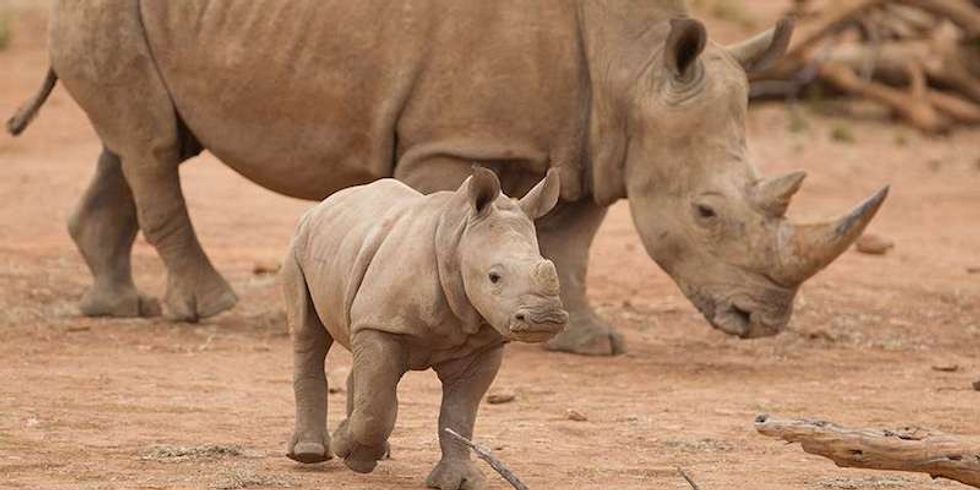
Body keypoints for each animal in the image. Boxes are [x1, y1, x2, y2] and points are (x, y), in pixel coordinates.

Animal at [8, 0, 887, 356]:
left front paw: (587, 344)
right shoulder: (451, 138)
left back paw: (118, 308)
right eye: (706, 212)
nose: (763, 320)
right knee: (153, 143)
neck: (633, 68)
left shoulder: (592, 143)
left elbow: (571, 244)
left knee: (145, 138)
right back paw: (208, 309)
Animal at [284, 167, 567, 489]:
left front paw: (457, 481)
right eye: (494, 277)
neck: (457, 240)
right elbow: (377, 409)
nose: (546, 318)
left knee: (362, 357)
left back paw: (374, 449)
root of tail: (325, 203)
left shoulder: (483, 346)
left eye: (549, 266)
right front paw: (351, 452)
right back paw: (310, 453)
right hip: (300, 244)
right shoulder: (384, 326)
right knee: (309, 334)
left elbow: (459, 414)